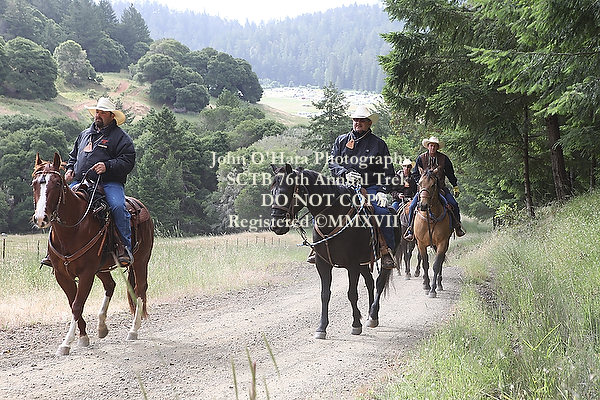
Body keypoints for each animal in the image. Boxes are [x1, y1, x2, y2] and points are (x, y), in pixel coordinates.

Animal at [31, 152, 154, 355]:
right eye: (34, 183)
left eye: (56, 183)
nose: (41, 218)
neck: (71, 230)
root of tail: (141, 207)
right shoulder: (62, 275)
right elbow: (73, 303)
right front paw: (83, 337)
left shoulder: (86, 274)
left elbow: (77, 305)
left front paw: (66, 343)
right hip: (102, 268)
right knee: (110, 285)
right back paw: (102, 326)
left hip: (141, 261)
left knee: (139, 289)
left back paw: (133, 330)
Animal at [269, 164, 399, 339]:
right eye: (272, 191)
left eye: (287, 191)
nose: (276, 225)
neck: (334, 217)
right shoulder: (323, 264)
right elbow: (325, 294)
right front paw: (321, 328)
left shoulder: (352, 265)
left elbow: (352, 294)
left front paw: (355, 325)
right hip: (364, 262)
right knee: (370, 282)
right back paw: (367, 314)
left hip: (381, 260)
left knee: (379, 283)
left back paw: (372, 315)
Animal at [413, 168, 452, 298]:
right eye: (419, 183)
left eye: (433, 184)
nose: (423, 205)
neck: (430, 217)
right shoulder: (420, 244)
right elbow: (425, 263)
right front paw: (426, 286)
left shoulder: (442, 243)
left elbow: (436, 265)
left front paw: (433, 290)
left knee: (440, 262)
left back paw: (439, 284)